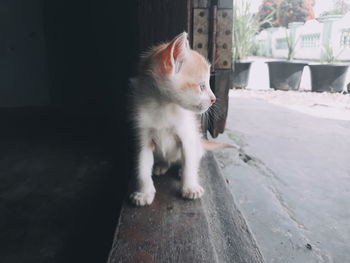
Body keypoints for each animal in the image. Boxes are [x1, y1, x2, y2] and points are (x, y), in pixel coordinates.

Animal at [130, 32, 217, 206]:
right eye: (202, 86)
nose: (213, 99)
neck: (163, 106)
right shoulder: (143, 138)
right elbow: (142, 167)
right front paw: (144, 193)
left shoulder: (187, 137)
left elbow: (189, 162)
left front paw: (190, 187)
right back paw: (162, 165)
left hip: (196, 142)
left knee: (192, 159)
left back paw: (181, 170)